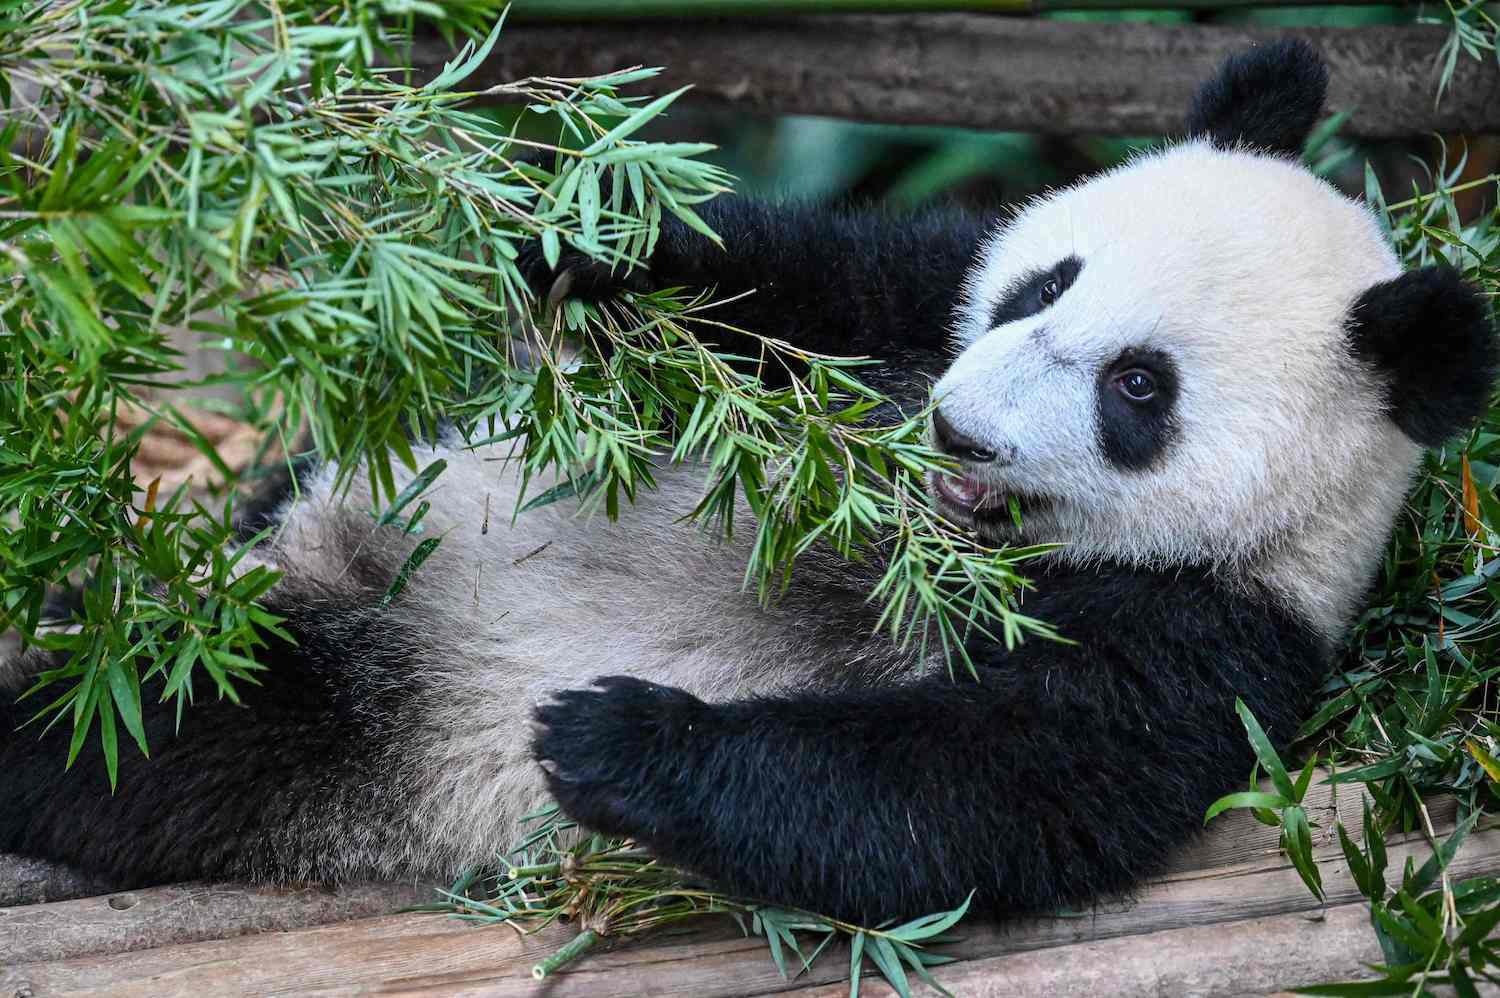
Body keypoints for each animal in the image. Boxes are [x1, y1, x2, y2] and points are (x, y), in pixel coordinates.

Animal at [1, 40, 1495, 926]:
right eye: (1045, 284)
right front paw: (547, 236)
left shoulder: (1209, 633)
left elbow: (971, 790)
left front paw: (615, 737)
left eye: (1140, 391)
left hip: (367, 725)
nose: (955, 430)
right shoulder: (897, 309)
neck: (938, 530)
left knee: (157, 731)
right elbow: (750, 272)